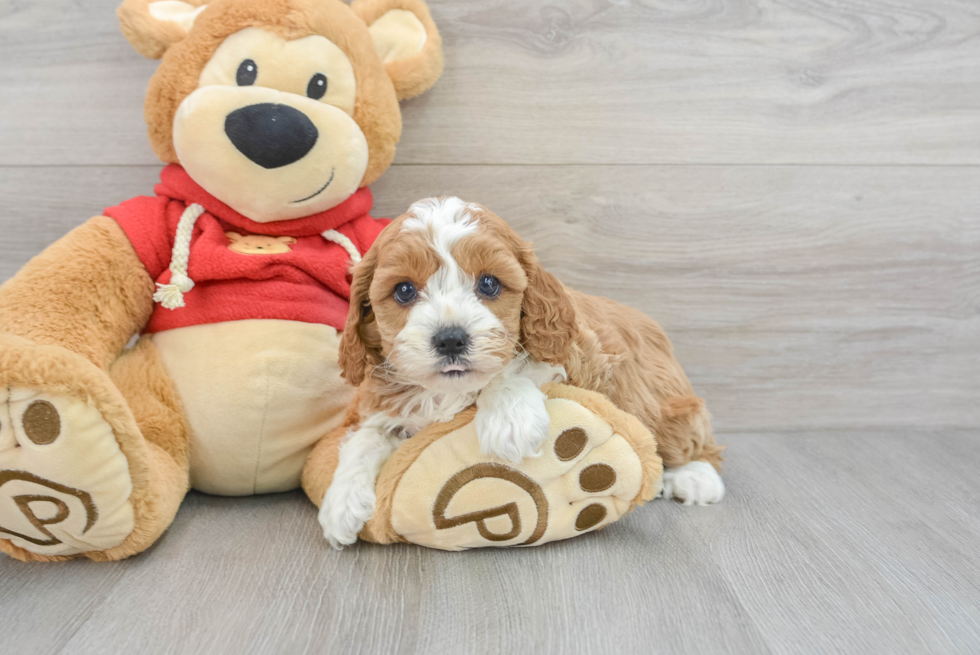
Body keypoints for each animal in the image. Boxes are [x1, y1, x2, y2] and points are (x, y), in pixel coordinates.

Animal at [318, 199, 724, 548]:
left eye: (489, 283)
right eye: (403, 290)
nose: (450, 339)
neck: (450, 392)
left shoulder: (580, 358)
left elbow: (513, 370)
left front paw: (510, 423)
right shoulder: (385, 404)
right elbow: (366, 436)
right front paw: (341, 503)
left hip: (656, 394)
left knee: (690, 438)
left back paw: (695, 479)